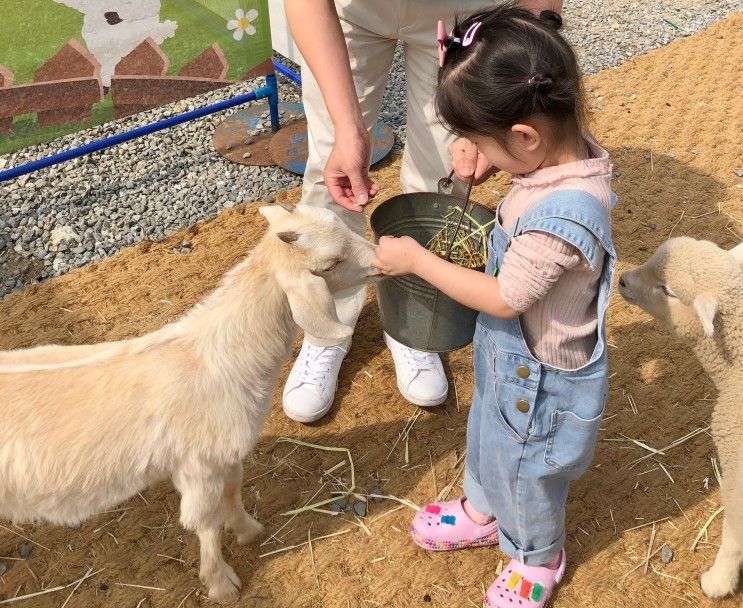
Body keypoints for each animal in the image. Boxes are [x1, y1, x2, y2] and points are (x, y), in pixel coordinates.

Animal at [0, 204, 380, 604]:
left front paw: (248, 531)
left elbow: (233, 491)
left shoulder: (225, 454)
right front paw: (221, 584)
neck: (218, 356)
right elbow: (206, 522)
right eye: (332, 262)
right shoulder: (200, 464)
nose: (381, 255)